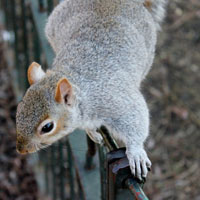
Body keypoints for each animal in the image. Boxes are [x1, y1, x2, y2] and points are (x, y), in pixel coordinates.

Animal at [16, 0, 168, 180]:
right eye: (18, 109)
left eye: (47, 127)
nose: (21, 149)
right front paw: (92, 133)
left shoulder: (116, 100)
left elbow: (135, 120)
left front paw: (136, 152)